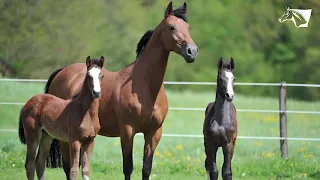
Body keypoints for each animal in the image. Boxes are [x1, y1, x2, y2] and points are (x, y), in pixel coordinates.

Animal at [42, 1, 198, 180]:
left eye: (188, 27)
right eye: (172, 27)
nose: (192, 51)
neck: (145, 88)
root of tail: (62, 72)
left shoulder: (154, 133)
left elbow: (146, 168)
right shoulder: (127, 131)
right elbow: (128, 168)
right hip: (66, 138)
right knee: (68, 167)